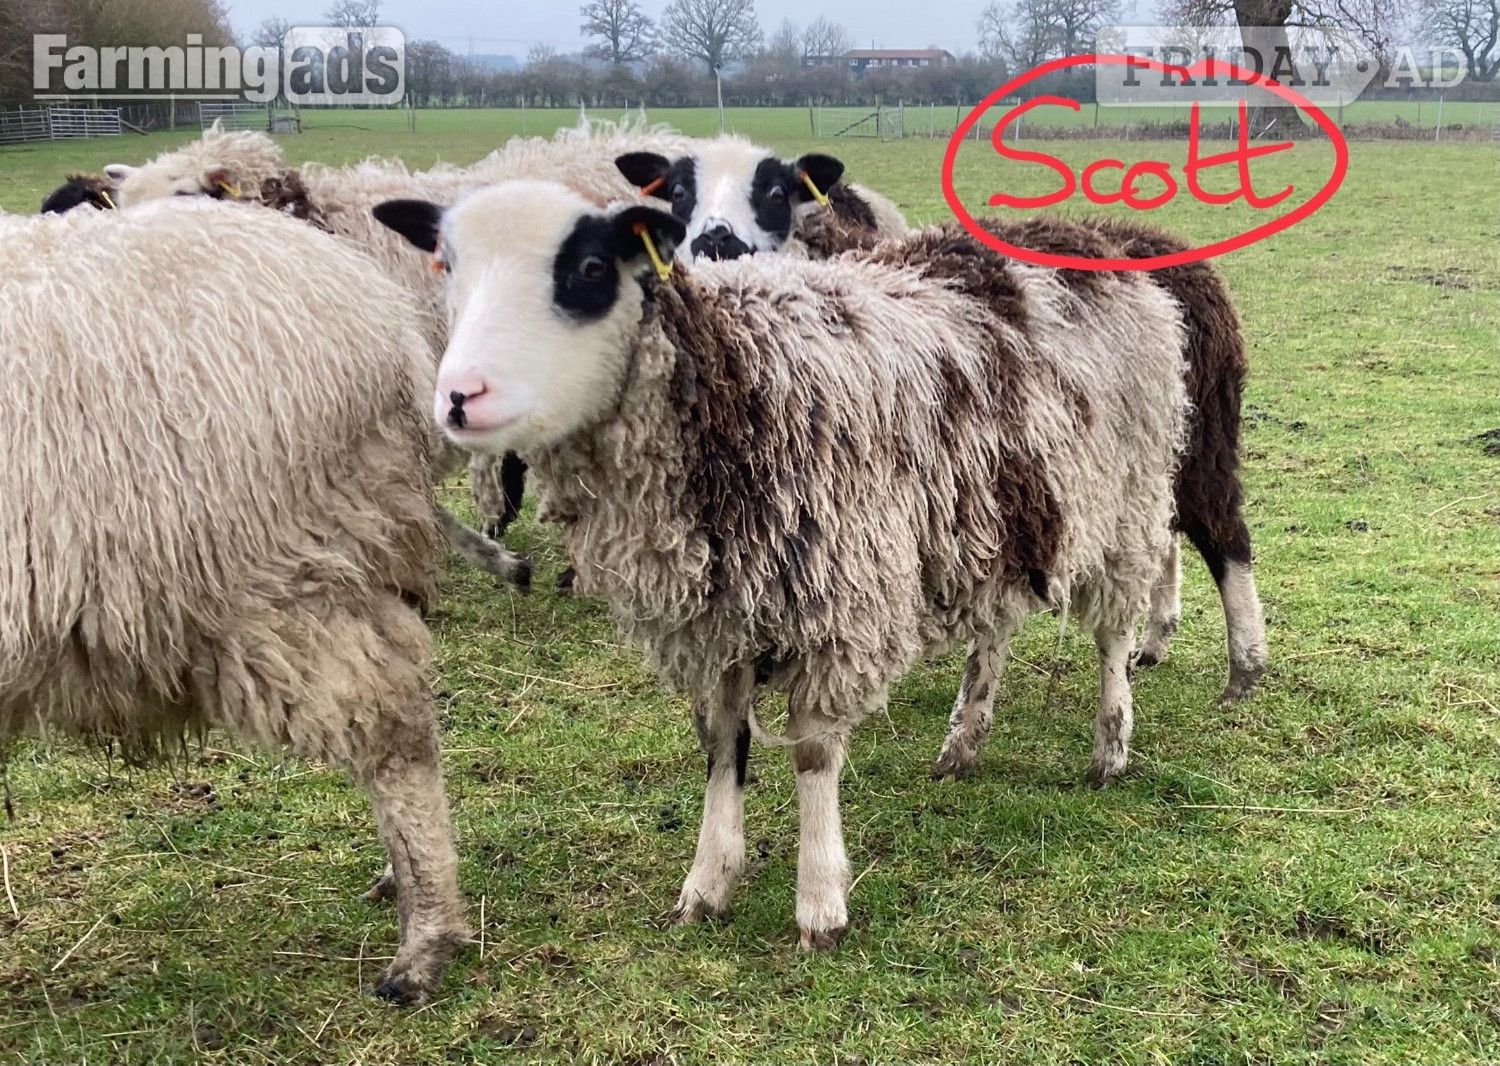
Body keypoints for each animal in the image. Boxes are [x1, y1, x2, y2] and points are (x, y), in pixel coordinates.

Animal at [373, 181, 1188, 948]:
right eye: (446, 266)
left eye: (592, 268)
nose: (459, 397)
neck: (734, 384)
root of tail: (1083, 234)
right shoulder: (718, 622)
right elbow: (721, 748)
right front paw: (707, 884)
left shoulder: (838, 603)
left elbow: (814, 756)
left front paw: (821, 904)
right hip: (998, 514)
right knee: (996, 630)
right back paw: (965, 741)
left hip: (1126, 495)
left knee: (1113, 630)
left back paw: (1111, 743)